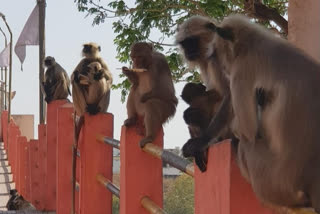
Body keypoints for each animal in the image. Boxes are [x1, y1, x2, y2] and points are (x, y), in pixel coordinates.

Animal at [179, 14, 320, 211]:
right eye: (185, 44)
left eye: (191, 42)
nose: (188, 52)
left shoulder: (228, 66)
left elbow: (229, 100)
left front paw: (201, 142)